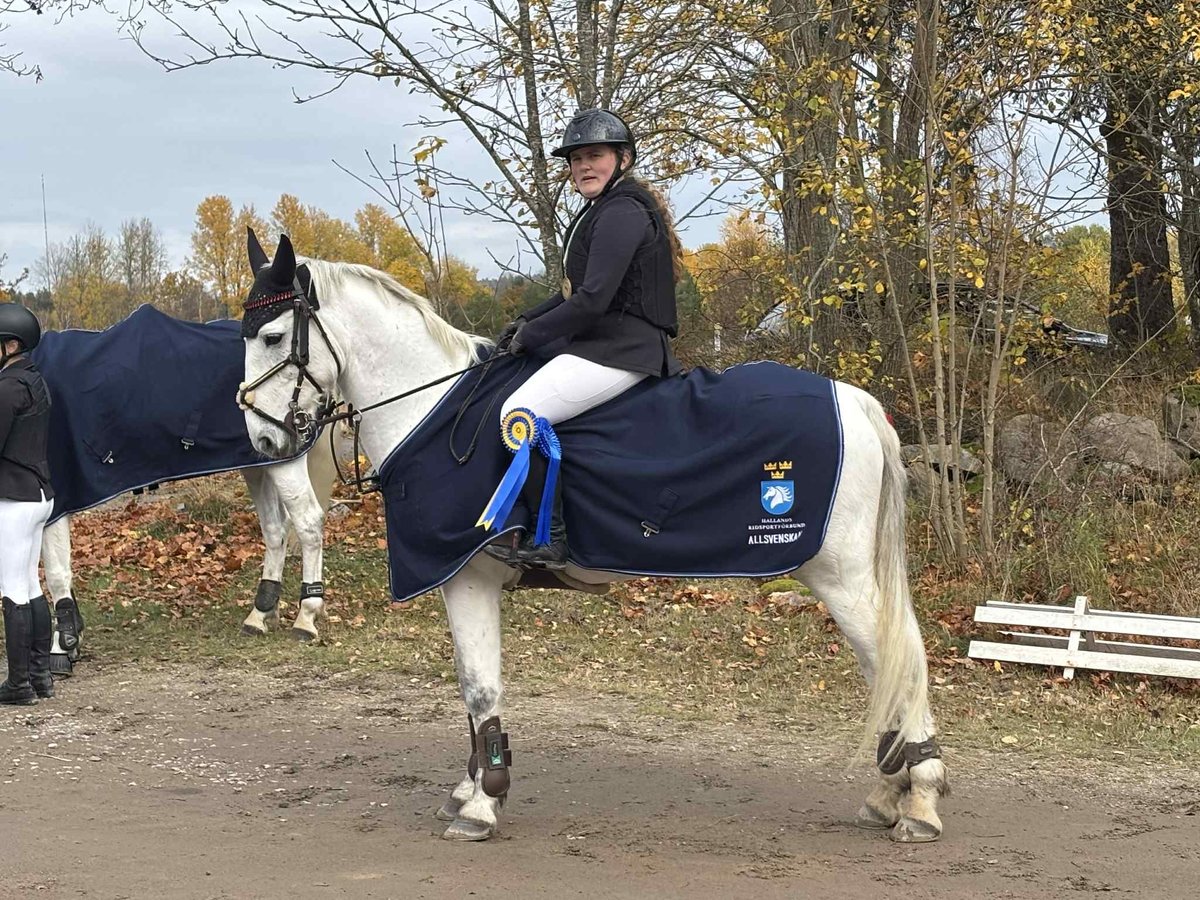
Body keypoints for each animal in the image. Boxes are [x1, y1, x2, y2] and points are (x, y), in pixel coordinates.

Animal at [238, 234, 949, 845]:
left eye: (272, 336)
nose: (265, 440)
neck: (433, 413)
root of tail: (858, 404)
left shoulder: (465, 576)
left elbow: (479, 689)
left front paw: (482, 803)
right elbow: (473, 690)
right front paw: (472, 786)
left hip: (841, 579)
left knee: (902, 662)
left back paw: (919, 802)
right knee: (887, 666)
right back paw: (892, 794)